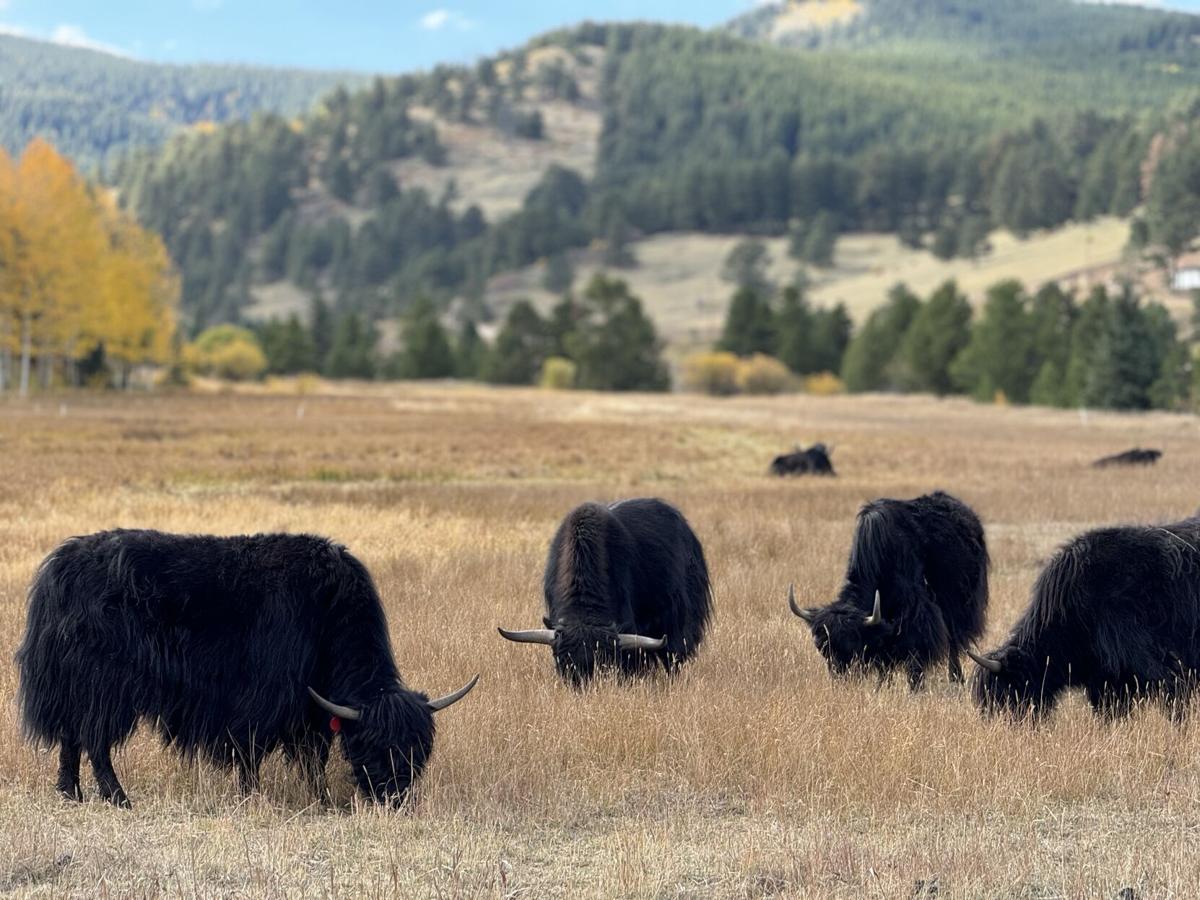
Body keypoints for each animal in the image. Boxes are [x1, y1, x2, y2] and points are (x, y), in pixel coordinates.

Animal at [15, 529, 478, 807]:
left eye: (419, 749)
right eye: (372, 745)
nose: (393, 799)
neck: (326, 611)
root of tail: (59, 569)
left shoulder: (311, 711)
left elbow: (315, 757)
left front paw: (323, 800)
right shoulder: (266, 700)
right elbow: (255, 750)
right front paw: (251, 797)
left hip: (75, 687)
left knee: (72, 737)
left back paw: (71, 793)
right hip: (106, 686)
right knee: (95, 740)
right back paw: (118, 798)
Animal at [789, 491, 988, 689]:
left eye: (852, 645)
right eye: (822, 647)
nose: (841, 682)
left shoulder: (915, 614)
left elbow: (915, 652)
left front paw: (916, 688)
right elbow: (883, 661)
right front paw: (882, 686)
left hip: (960, 607)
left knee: (954, 643)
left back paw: (956, 679)